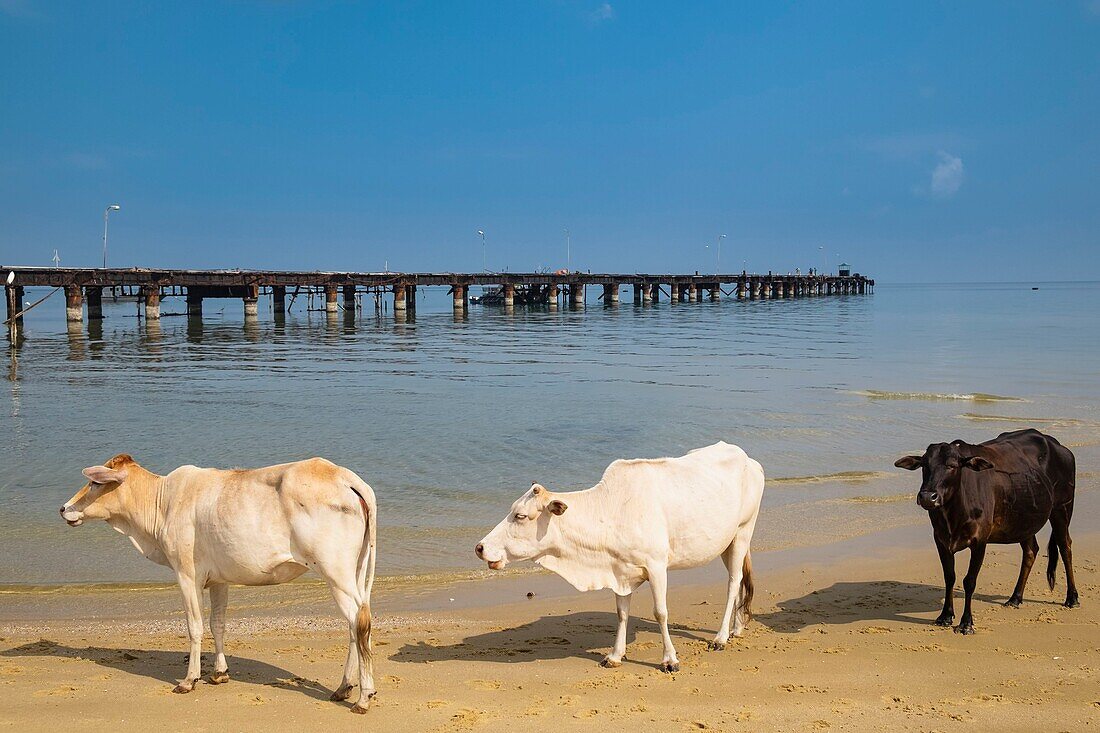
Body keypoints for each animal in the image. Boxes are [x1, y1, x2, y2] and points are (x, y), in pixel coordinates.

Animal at [61, 453, 378, 708]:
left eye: (95, 483)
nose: (64, 508)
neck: (162, 502)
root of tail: (343, 475)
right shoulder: (218, 580)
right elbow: (218, 624)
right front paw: (219, 673)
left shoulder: (187, 574)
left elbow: (195, 626)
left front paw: (189, 680)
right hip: (354, 571)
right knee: (357, 623)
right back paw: (343, 688)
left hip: (335, 572)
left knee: (358, 621)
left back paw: (363, 697)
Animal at [473, 440, 765, 669]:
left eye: (520, 516)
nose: (480, 547)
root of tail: (750, 461)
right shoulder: (620, 571)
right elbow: (621, 613)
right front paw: (614, 655)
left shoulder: (657, 566)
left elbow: (661, 612)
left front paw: (670, 659)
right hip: (728, 542)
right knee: (739, 580)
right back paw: (737, 628)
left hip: (743, 531)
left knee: (733, 582)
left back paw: (721, 637)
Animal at [893, 429, 1082, 633]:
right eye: (924, 465)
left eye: (952, 465)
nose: (928, 497)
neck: (954, 514)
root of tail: (1059, 446)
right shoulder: (941, 540)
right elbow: (949, 577)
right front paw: (945, 616)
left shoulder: (980, 542)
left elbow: (969, 581)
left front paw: (966, 622)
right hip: (1024, 521)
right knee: (1031, 551)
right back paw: (1015, 598)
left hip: (1062, 509)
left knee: (1065, 547)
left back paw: (1072, 598)